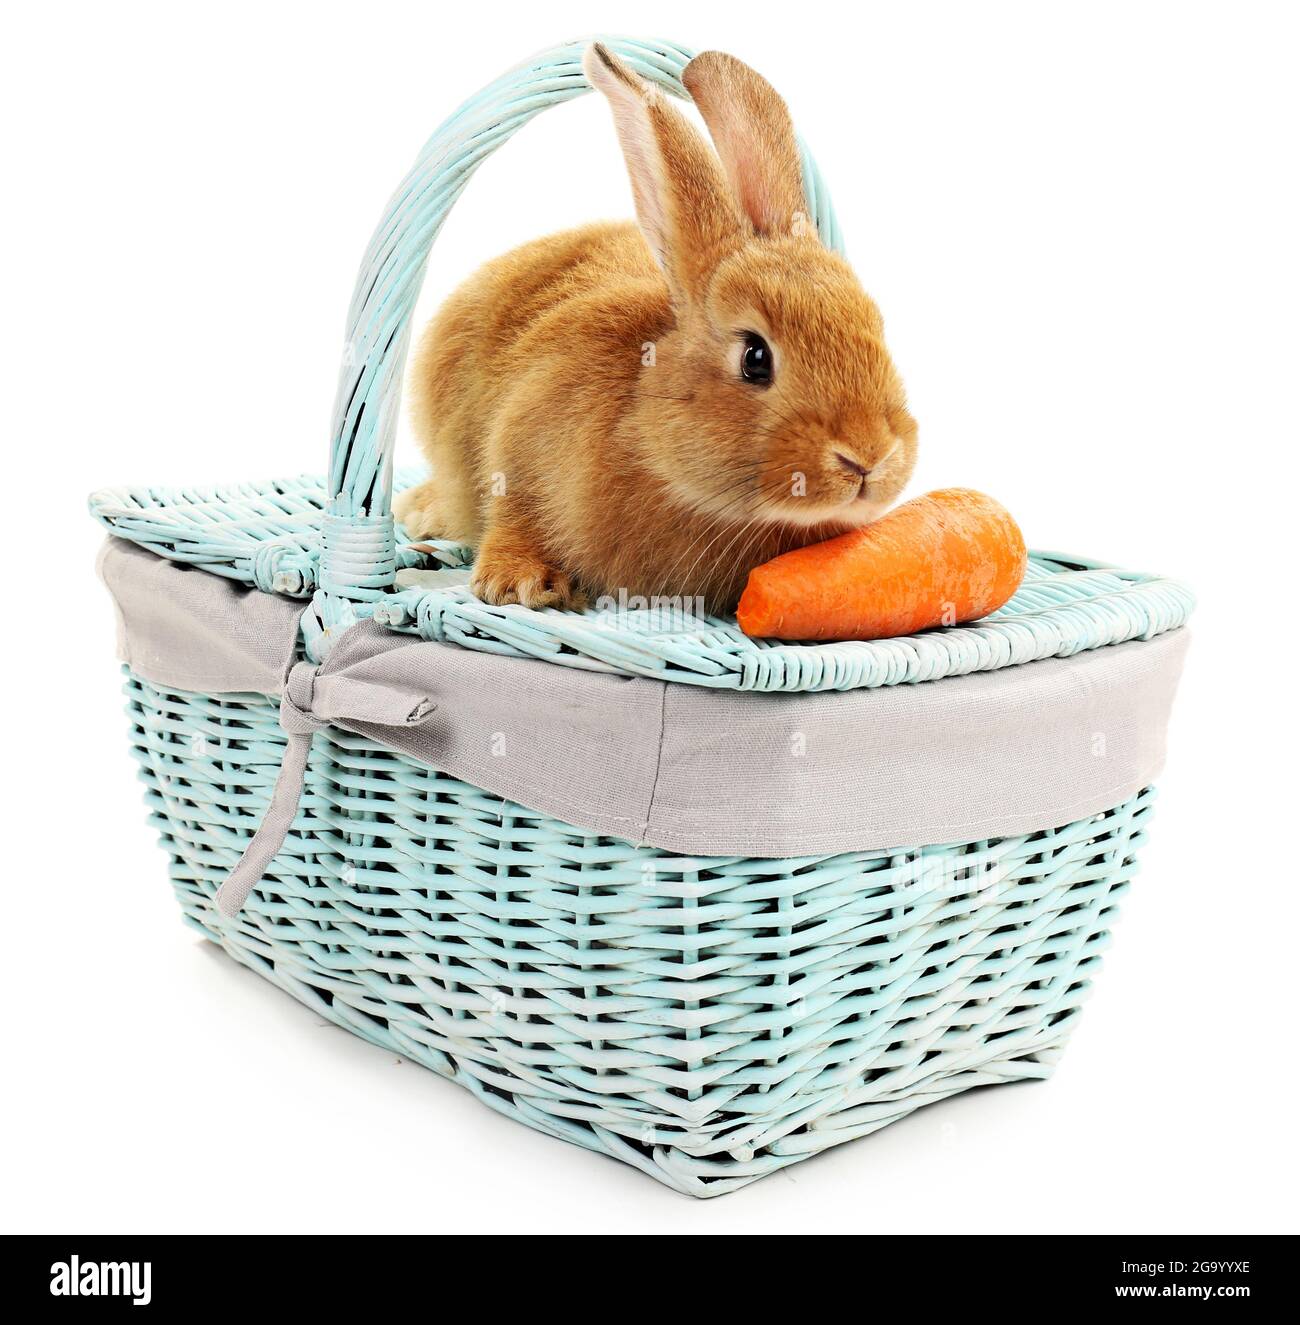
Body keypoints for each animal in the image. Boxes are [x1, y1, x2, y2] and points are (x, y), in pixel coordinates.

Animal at [394, 42, 918, 616]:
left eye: (878, 329)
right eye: (755, 357)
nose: (868, 455)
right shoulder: (520, 439)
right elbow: (517, 511)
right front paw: (520, 584)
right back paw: (418, 512)